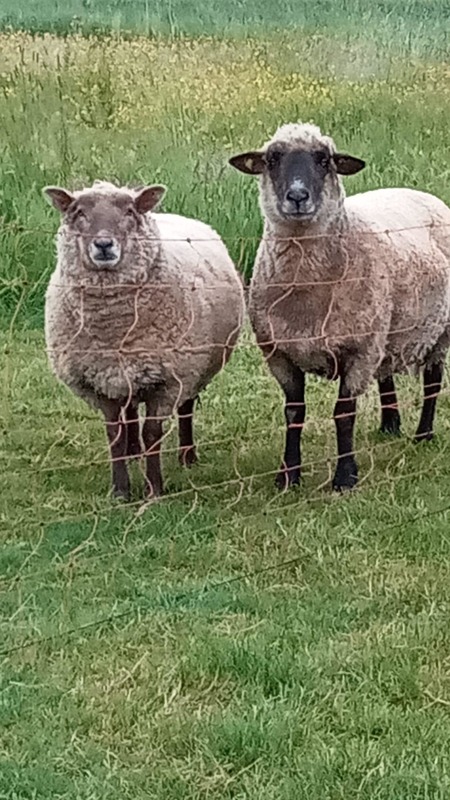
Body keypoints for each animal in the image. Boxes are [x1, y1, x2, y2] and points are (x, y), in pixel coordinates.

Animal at [44, 180, 244, 500]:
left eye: (129, 211)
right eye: (79, 213)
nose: (104, 245)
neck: (114, 329)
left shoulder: (168, 380)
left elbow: (153, 434)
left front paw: (154, 490)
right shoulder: (100, 381)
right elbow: (114, 434)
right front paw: (120, 491)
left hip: (191, 367)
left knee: (186, 408)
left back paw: (187, 456)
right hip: (126, 374)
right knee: (129, 412)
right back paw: (133, 451)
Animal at [230, 122, 450, 490]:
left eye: (324, 160)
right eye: (273, 159)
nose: (298, 197)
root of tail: (424, 194)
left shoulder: (358, 350)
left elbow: (343, 414)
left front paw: (345, 476)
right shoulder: (280, 354)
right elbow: (294, 413)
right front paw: (288, 475)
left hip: (437, 330)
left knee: (433, 381)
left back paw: (423, 434)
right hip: (385, 329)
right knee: (386, 373)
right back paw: (390, 424)